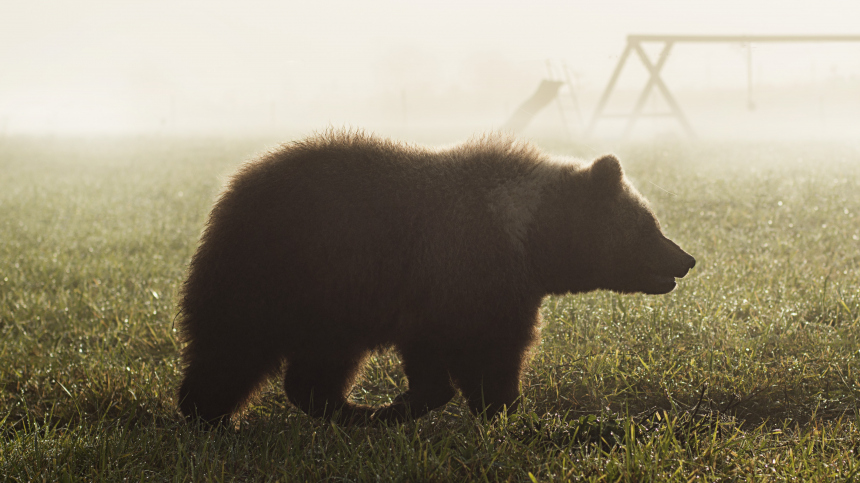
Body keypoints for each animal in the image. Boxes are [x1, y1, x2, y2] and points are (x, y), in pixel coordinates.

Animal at [175, 130, 692, 426]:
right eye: (649, 224)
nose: (685, 258)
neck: (531, 239)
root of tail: (232, 193)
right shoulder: (472, 274)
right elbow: (490, 353)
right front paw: (506, 409)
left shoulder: (434, 294)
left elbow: (433, 357)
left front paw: (414, 401)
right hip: (293, 277)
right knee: (235, 350)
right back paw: (213, 416)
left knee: (292, 365)